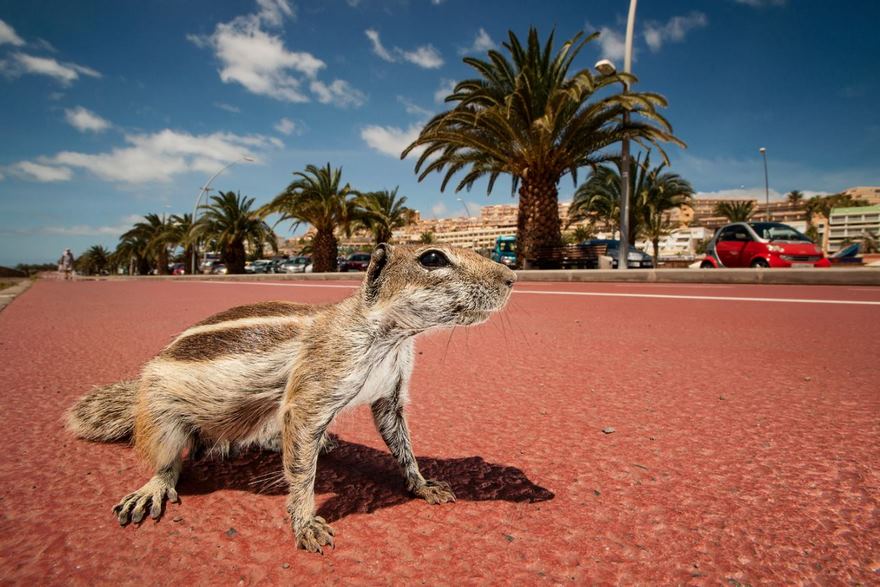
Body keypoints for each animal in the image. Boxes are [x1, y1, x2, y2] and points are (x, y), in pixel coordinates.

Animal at [67, 243, 516, 553]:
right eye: (433, 258)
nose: (511, 276)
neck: (391, 337)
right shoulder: (313, 392)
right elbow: (302, 470)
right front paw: (305, 524)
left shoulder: (390, 395)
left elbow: (400, 443)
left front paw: (423, 485)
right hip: (161, 416)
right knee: (170, 460)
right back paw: (153, 487)